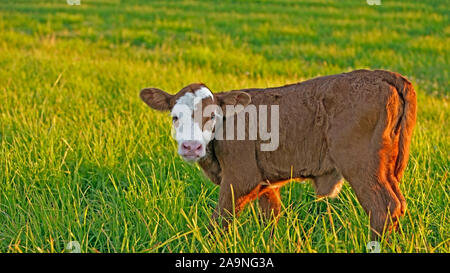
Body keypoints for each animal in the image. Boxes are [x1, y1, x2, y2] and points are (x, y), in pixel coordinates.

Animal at [140, 69, 414, 237]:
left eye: (212, 116)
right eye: (175, 117)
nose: (191, 146)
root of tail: (380, 75)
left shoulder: (240, 179)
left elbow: (219, 222)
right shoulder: (264, 183)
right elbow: (270, 218)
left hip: (361, 166)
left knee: (383, 209)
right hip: (386, 170)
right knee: (398, 205)